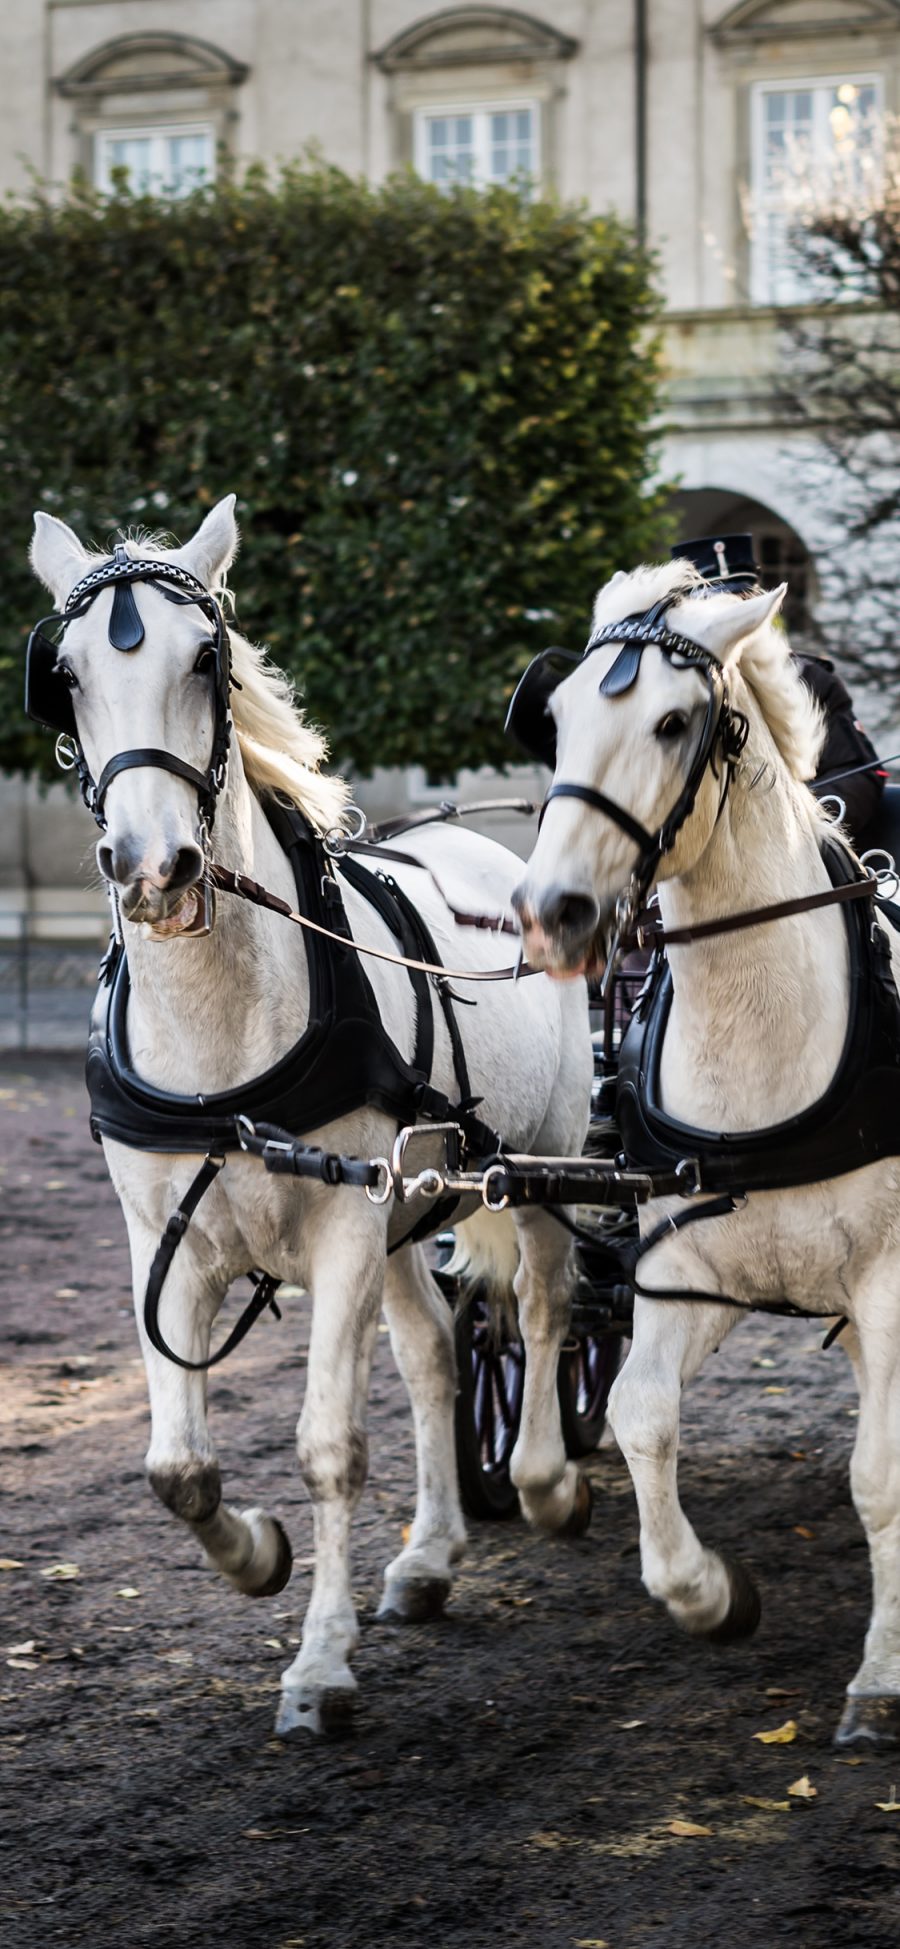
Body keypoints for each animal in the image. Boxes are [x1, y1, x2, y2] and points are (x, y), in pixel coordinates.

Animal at [28, 498, 592, 1738]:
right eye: (67, 675)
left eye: (208, 658)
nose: (154, 868)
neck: (223, 1038)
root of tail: (477, 843)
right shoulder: (167, 1242)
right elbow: (176, 1466)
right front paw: (258, 1555)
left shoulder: (340, 1232)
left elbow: (330, 1444)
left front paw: (320, 1662)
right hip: (404, 1211)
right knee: (434, 1354)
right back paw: (430, 1555)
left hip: (542, 1161)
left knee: (540, 1308)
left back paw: (543, 1478)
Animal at [514, 553, 900, 1754]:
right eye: (556, 717)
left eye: (676, 721)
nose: (550, 909)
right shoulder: (682, 1268)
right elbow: (641, 1415)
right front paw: (710, 1593)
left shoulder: (890, 1280)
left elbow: (880, 1473)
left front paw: (881, 1677)